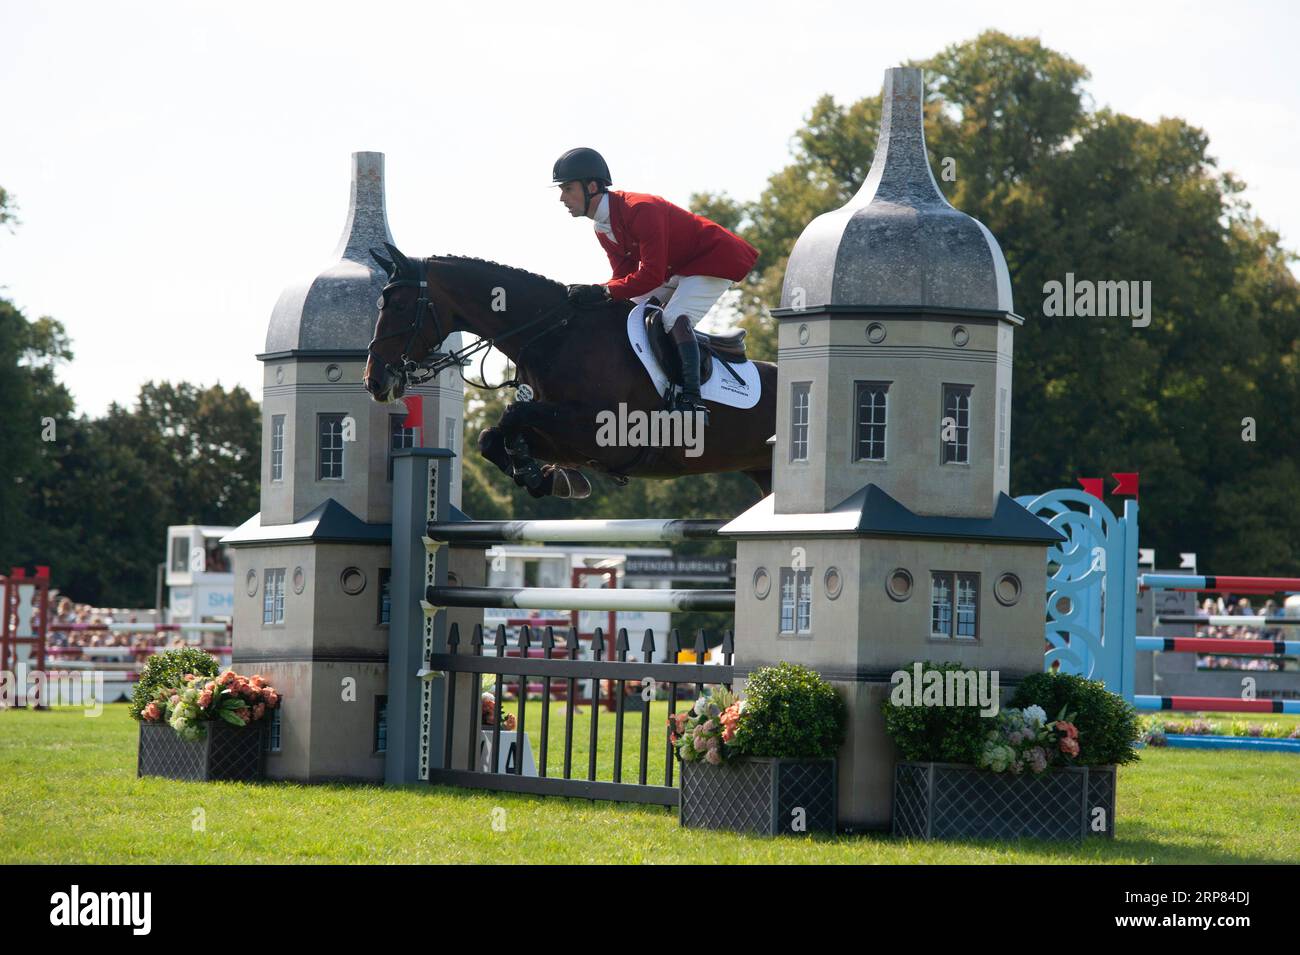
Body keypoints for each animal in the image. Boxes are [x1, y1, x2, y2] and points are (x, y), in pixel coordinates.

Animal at [361, 242, 774, 501]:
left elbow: (513, 413)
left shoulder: (605, 433)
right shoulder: (565, 438)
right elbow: (490, 436)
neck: (557, 336)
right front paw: (545, 477)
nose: (375, 381)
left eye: (398, 306)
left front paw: (536, 473)